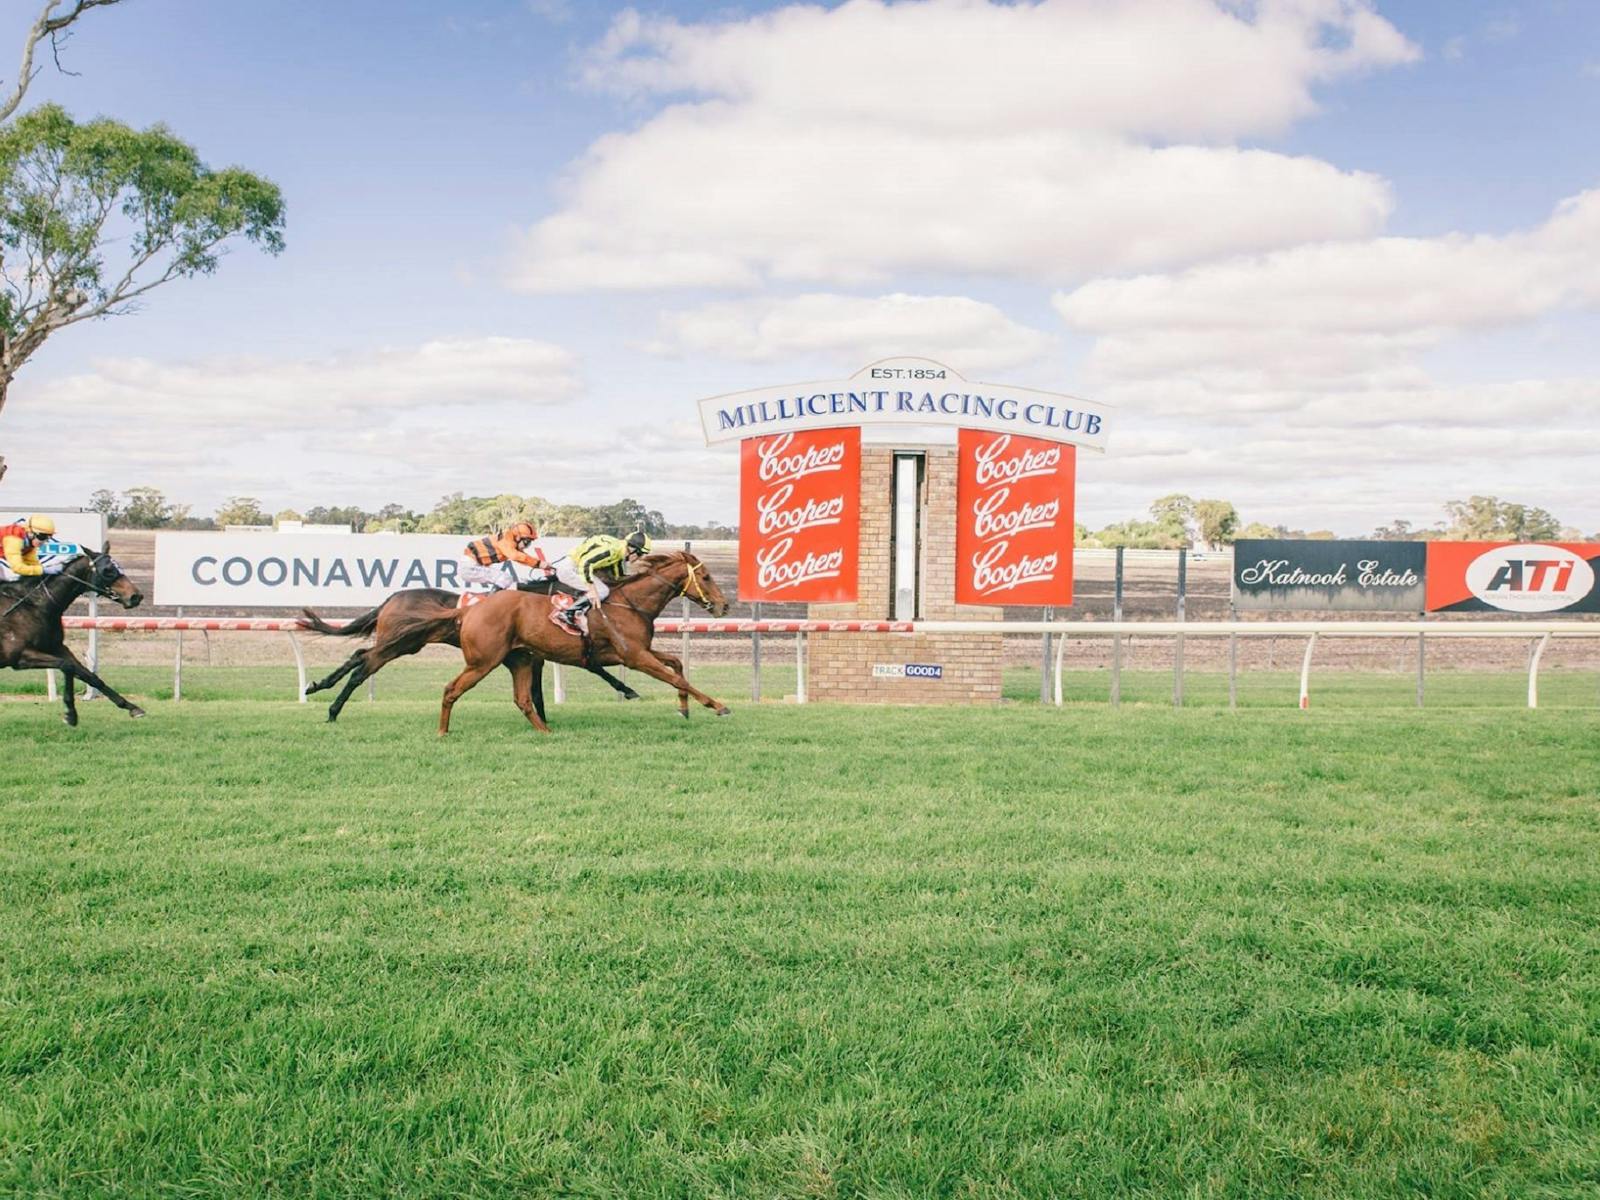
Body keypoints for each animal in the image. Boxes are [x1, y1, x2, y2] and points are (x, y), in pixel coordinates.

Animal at [0, 553, 148, 729]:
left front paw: (131, 707)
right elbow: (68, 666)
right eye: (108, 570)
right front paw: (70, 714)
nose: (136, 596)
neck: (34, 605)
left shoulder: (57, 648)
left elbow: (89, 676)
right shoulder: (20, 656)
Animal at [438, 550, 736, 739]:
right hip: (483, 661)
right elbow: (678, 678)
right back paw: (442, 731)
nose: (724, 605)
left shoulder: (637, 651)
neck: (630, 603)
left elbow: (676, 664)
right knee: (451, 689)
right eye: (706, 577)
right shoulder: (635, 657)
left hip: (520, 659)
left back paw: (546, 732)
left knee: (522, 699)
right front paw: (717, 706)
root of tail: (470, 609)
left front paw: (684, 708)